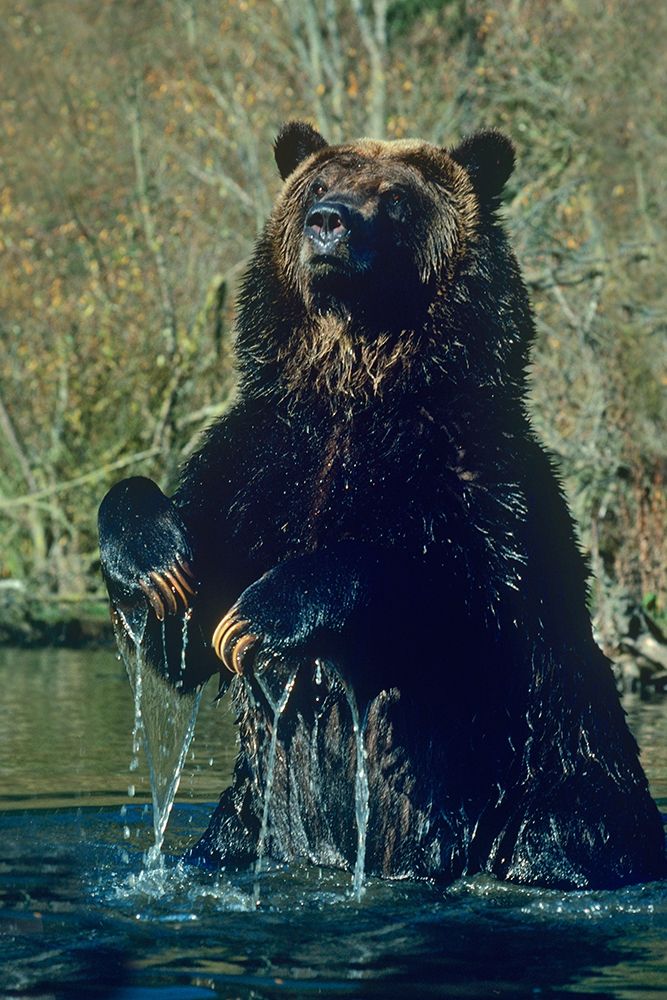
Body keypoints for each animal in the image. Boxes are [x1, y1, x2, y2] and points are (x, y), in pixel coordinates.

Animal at [98, 121, 665, 889]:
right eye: (316, 183)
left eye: (395, 199)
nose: (328, 223)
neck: (355, 388)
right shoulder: (263, 462)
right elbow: (177, 635)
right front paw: (156, 566)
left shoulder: (471, 476)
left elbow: (447, 593)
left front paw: (261, 614)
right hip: (246, 818)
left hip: (552, 784)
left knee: (564, 825)